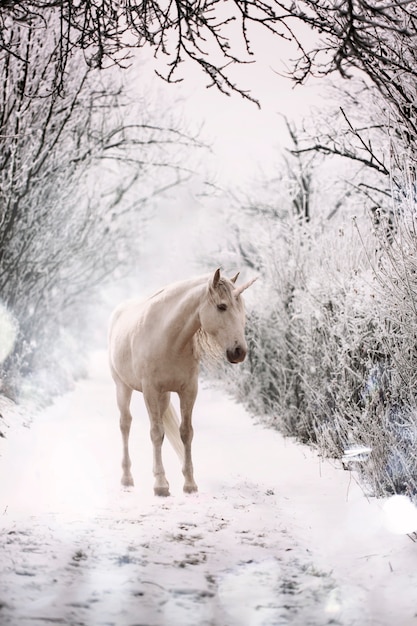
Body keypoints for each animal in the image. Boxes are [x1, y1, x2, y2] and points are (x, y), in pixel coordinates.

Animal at [108, 268, 254, 498]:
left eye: (242, 309)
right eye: (222, 306)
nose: (239, 351)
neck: (168, 338)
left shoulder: (188, 390)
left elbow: (185, 432)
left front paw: (189, 483)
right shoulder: (150, 390)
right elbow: (156, 433)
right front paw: (160, 485)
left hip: (164, 396)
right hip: (123, 387)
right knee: (125, 424)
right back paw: (127, 478)